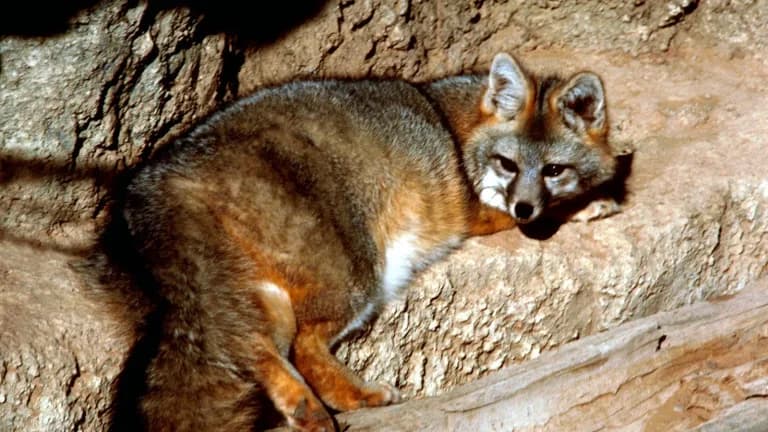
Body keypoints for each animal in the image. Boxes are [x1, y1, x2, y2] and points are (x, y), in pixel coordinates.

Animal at [116, 52, 619, 431]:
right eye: (508, 164)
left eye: (553, 170)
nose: (524, 208)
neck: (458, 125)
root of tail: (163, 174)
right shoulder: (476, 210)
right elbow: (538, 214)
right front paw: (588, 203)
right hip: (357, 278)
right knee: (302, 346)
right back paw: (357, 397)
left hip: (260, 297)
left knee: (256, 347)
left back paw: (304, 407)